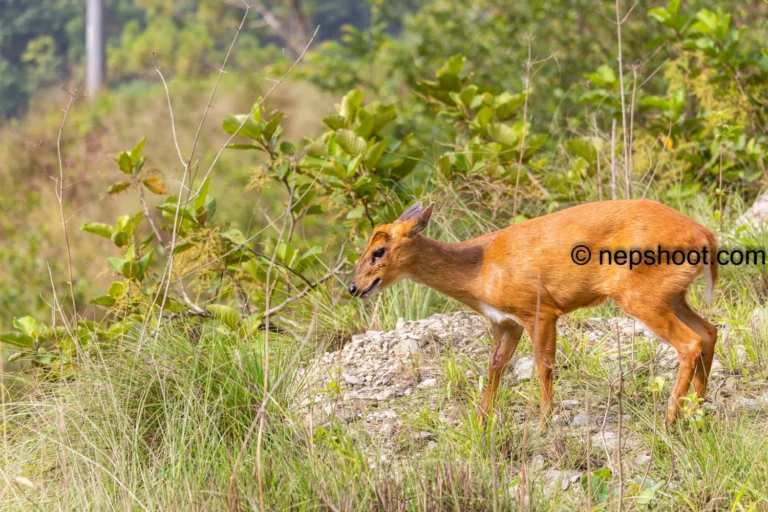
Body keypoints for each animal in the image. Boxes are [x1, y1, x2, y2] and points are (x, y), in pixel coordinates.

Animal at [348, 200, 718, 430]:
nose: (354, 287)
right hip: (671, 293)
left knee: (689, 342)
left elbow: (544, 365)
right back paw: (696, 409)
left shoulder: (538, 309)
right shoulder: (505, 322)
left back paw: (670, 418)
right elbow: (495, 366)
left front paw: (543, 423)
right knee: (709, 332)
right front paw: (481, 420)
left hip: (640, 293)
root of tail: (706, 235)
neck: (478, 272)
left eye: (378, 251)